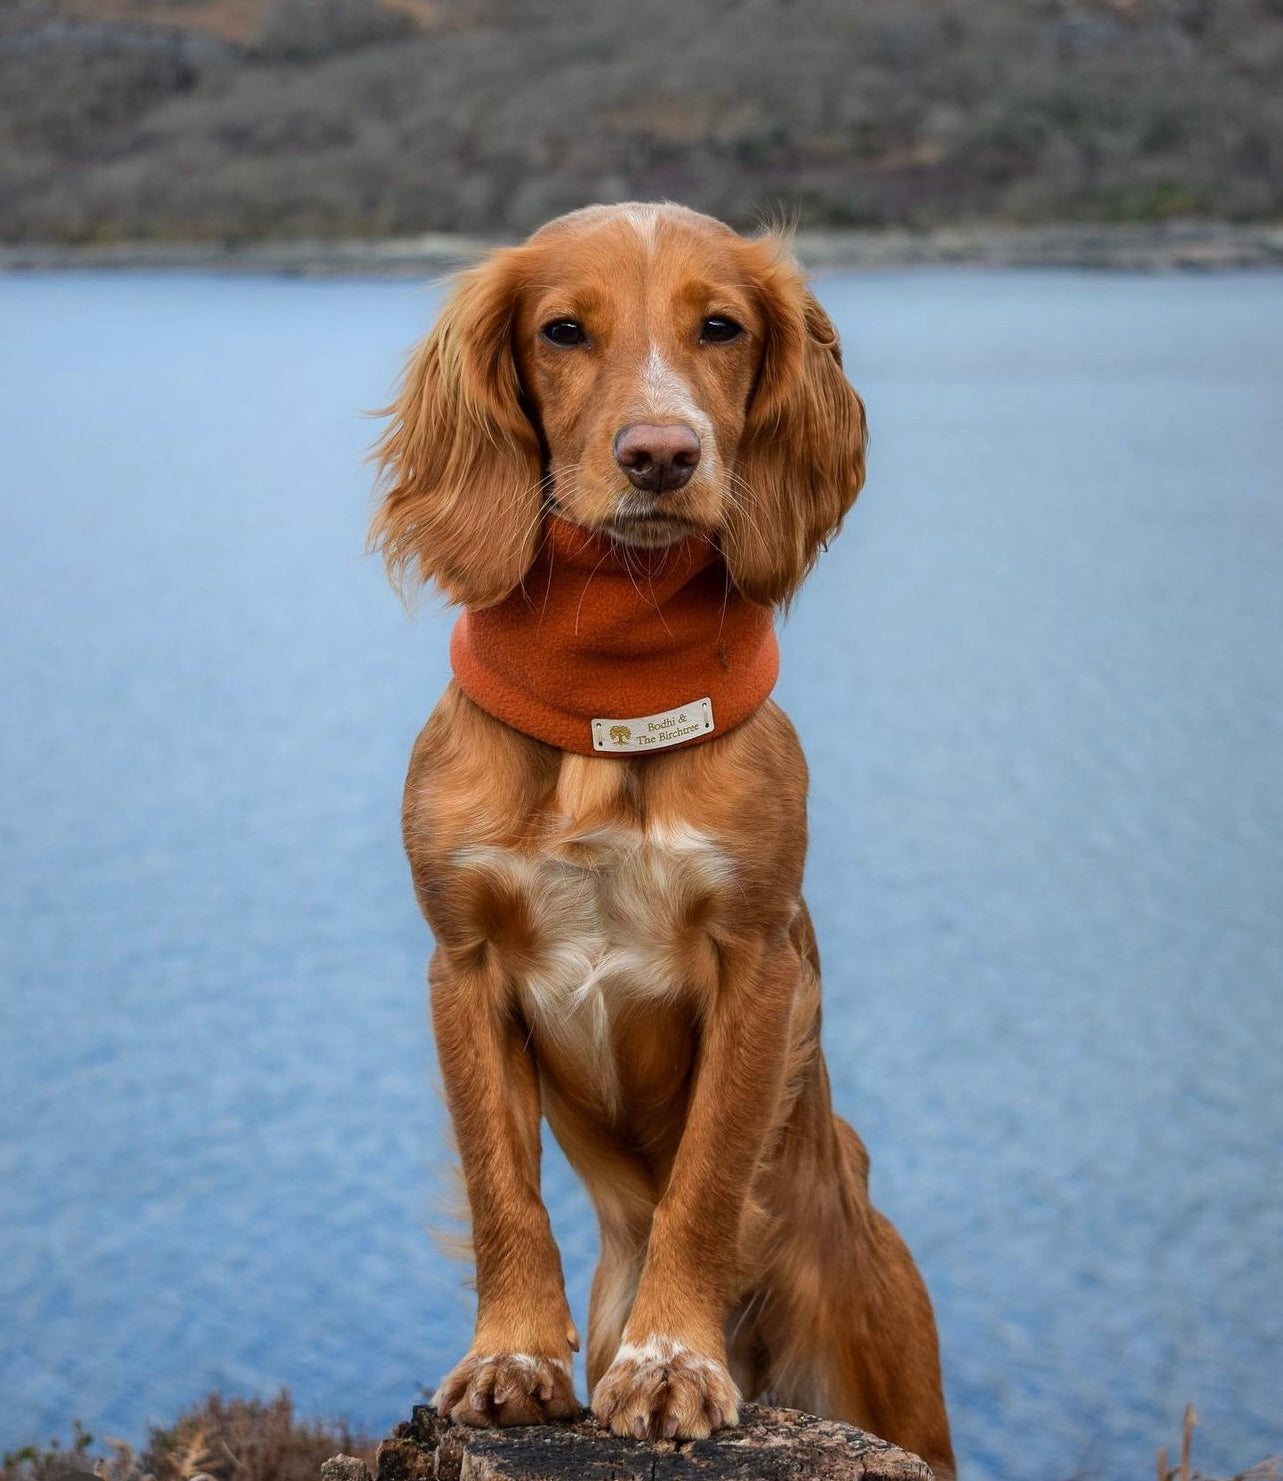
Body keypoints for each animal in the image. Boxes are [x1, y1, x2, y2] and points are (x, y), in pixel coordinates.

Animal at [370, 202, 948, 1475]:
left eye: (719, 326)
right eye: (563, 329)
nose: (661, 455)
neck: (607, 692)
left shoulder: (755, 959)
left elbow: (706, 1176)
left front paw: (672, 1358)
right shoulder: (462, 962)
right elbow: (502, 1184)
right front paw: (511, 1353)